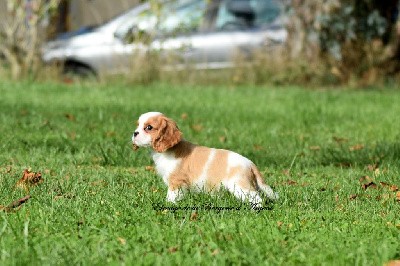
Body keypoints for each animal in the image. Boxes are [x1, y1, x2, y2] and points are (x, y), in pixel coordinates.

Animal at [131, 111, 278, 207]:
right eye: (137, 125)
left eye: (149, 127)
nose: (134, 133)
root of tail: (250, 164)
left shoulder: (177, 183)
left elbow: (171, 196)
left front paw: (168, 204)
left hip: (240, 186)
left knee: (257, 199)